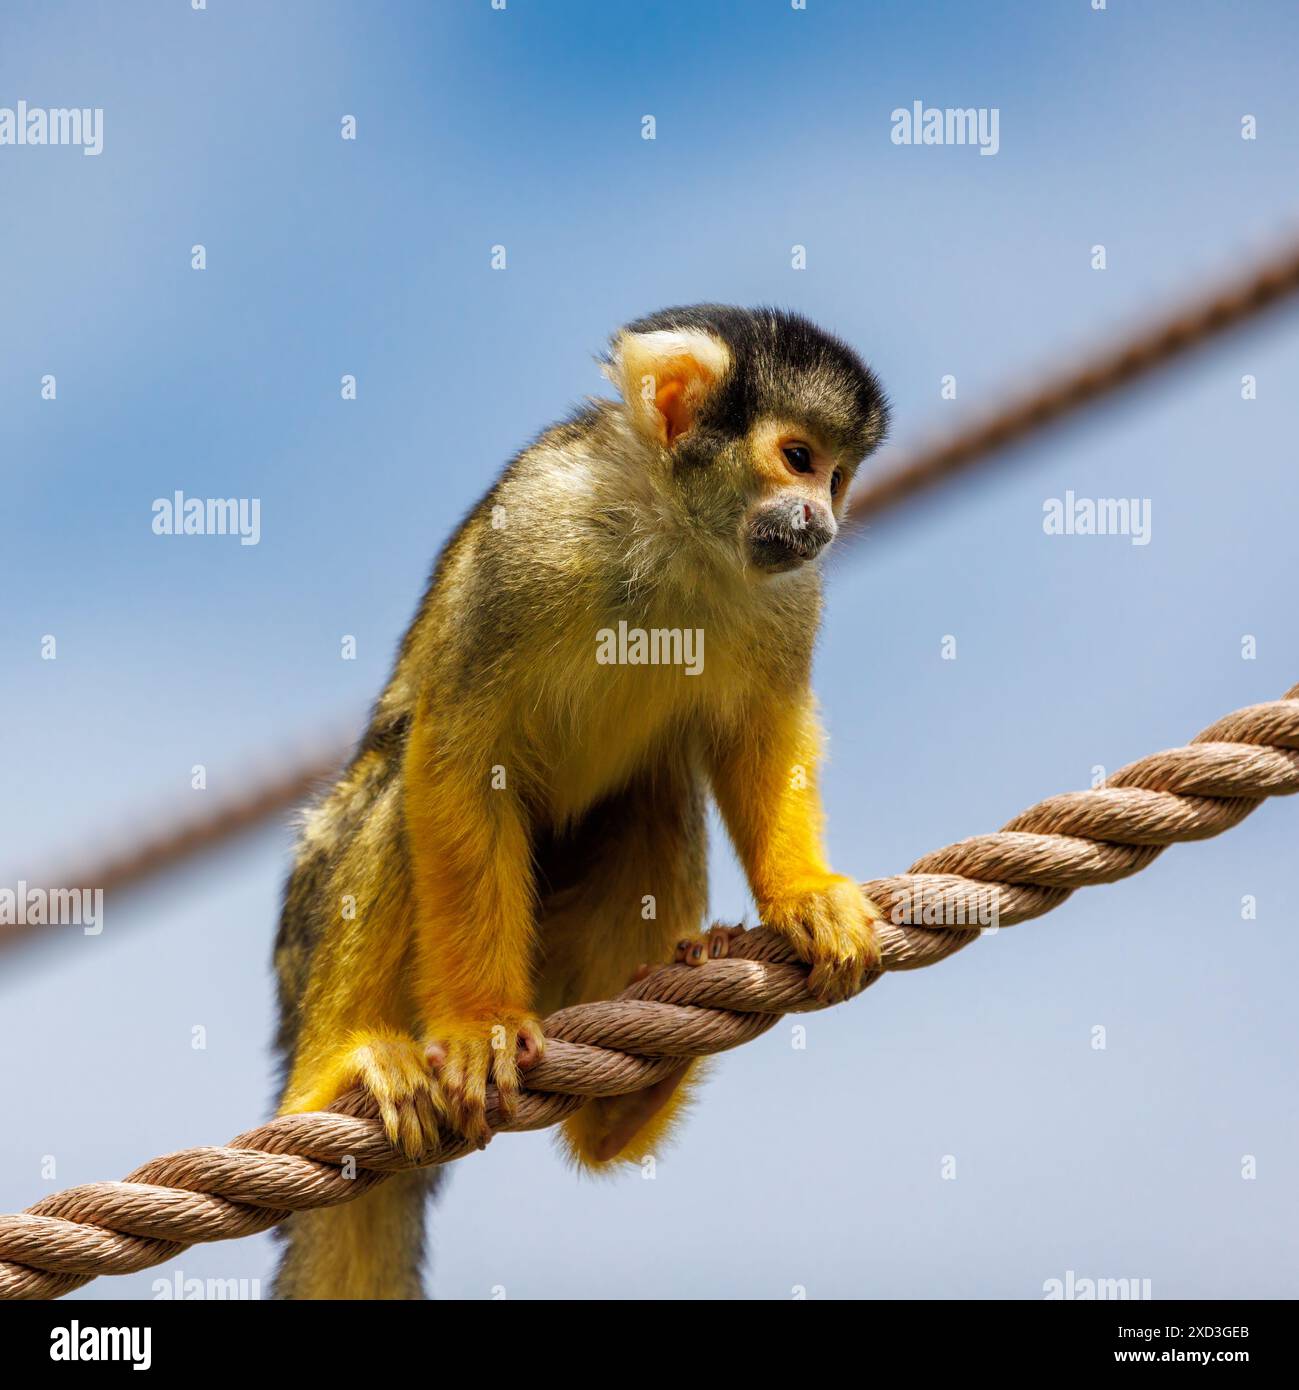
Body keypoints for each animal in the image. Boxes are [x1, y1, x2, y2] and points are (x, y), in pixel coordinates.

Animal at [269, 301, 889, 1289]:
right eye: (798, 458)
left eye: (837, 477)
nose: (823, 519)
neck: (676, 529)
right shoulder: (533, 531)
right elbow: (459, 749)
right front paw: (480, 1028)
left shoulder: (789, 595)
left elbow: (762, 729)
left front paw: (802, 895)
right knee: (398, 779)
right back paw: (346, 1064)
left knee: (651, 792)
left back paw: (627, 1103)